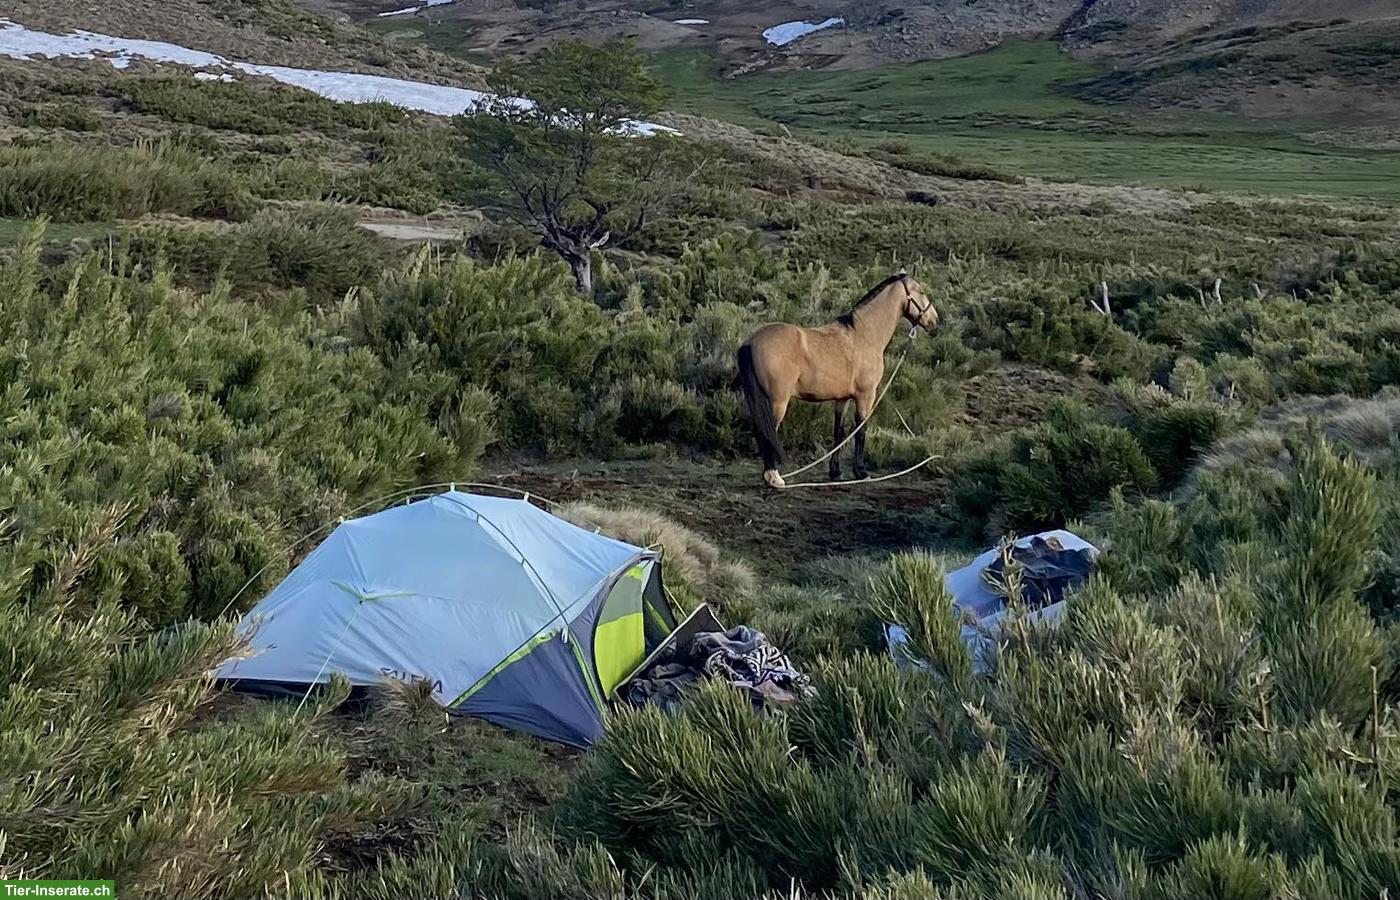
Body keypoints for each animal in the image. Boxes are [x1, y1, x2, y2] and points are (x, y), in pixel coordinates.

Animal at [736, 272, 939, 489]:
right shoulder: (866, 396)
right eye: (921, 291)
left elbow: (838, 433)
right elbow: (860, 430)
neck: (864, 335)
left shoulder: (842, 399)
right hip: (777, 401)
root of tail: (751, 341)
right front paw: (861, 472)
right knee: (769, 431)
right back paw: (774, 477)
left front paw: (835, 471)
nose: (935, 322)